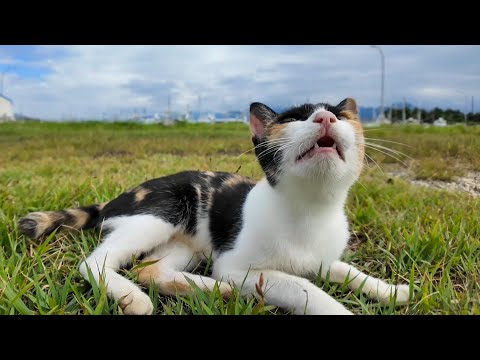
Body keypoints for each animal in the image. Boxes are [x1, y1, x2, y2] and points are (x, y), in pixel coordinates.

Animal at [17, 97, 408, 314]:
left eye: (342, 118)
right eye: (292, 120)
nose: (326, 118)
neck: (310, 208)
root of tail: (114, 200)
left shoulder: (323, 259)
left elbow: (347, 271)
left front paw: (392, 291)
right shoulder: (238, 267)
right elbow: (305, 288)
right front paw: (338, 309)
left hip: (189, 243)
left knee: (149, 269)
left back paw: (211, 289)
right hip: (164, 210)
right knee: (94, 263)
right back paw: (134, 298)